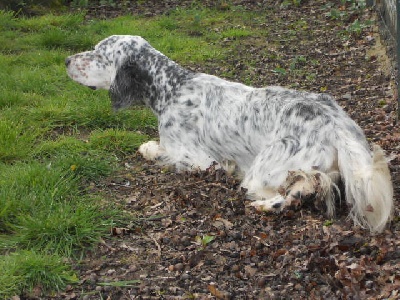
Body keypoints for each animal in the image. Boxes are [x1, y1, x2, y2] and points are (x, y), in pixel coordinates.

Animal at [65, 35, 394, 232]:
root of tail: (334, 121)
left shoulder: (197, 159)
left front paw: (148, 148)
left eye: (99, 54)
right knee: (303, 189)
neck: (172, 88)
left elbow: (155, 150)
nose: (66, 60)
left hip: (263, 170)